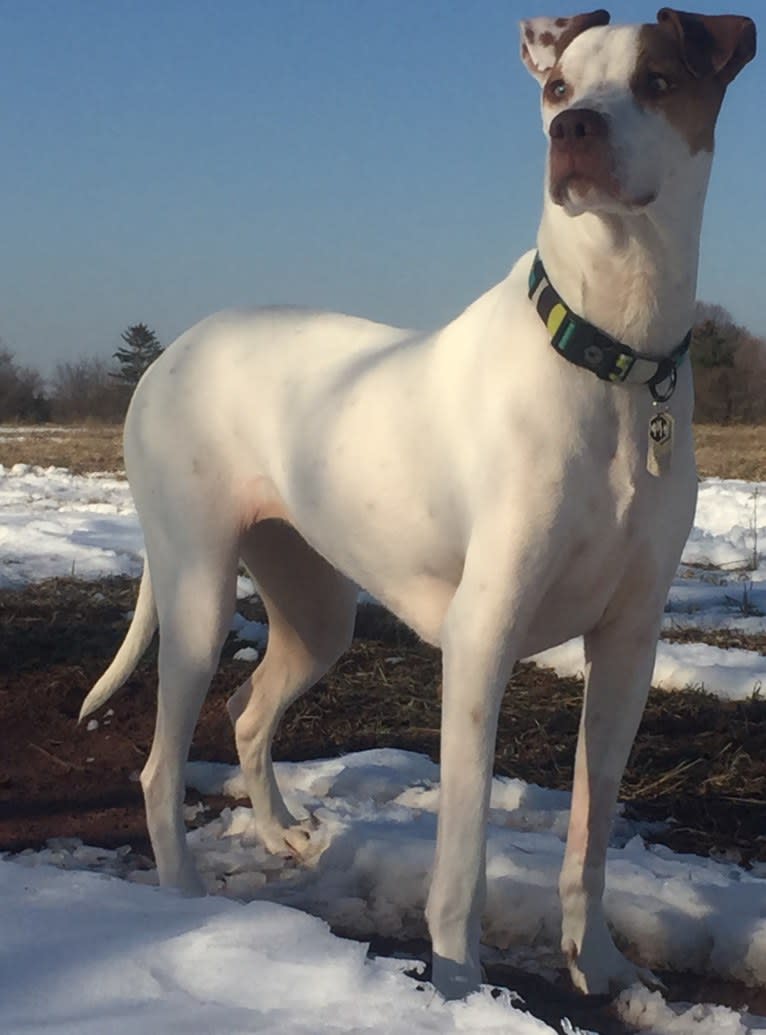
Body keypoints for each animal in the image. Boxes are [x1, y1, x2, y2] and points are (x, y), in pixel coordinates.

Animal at [82, 4, 753, 997]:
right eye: (559, 86)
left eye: (657, 82)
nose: (572, 130)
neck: (612, 353)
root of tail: (173, 352)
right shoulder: (482, 637)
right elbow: (462, 857)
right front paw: (459, 986)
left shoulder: (629, 645)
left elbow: (591, 838)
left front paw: (597, 964)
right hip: (197, 592)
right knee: (161, 766)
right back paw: (183, 899)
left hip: (317, 609)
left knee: (247, 710)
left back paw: (280, 831)